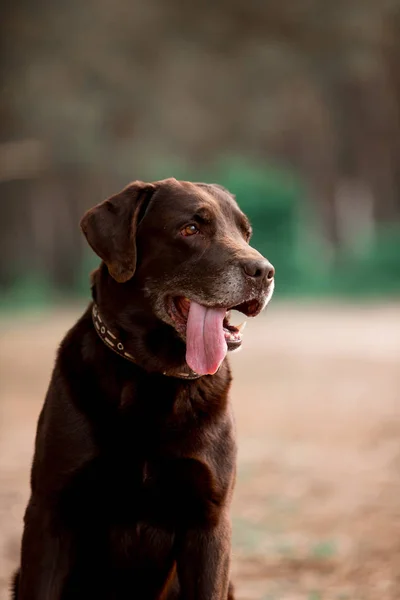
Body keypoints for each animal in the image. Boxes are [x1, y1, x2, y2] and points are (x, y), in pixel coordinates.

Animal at [12, 179, 276, 600]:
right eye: (190, 229)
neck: (154, 374)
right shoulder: (50, 512)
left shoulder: (208, 521)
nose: (264, 271)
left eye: (245, 233)